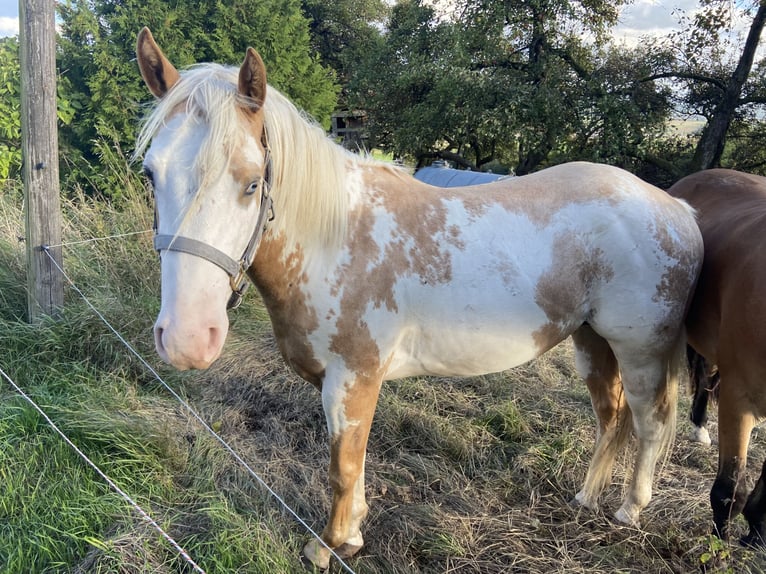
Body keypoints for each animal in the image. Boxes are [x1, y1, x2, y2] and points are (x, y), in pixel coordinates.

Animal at [134, 27, 703, 568]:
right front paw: (353, 534)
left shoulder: (353, 379)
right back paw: (586, 497)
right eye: (150, 173)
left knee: (650, 422)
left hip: (641, 350)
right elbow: (355, 465)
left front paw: (328, 546)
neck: (336, 239)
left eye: (252, 183)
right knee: (611, 416)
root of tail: (677, 207)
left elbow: (343, 467)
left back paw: (629, 509)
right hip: (591, 341)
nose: (186, 338)